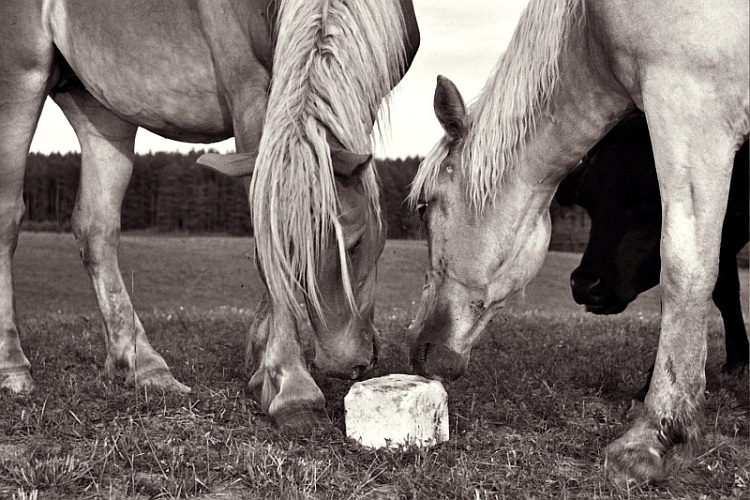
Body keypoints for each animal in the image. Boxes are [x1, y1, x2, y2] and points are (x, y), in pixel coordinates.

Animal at [0, 0, 424, 430]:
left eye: (355, 242)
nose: (342, 362)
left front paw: (260, 364)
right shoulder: (250, 97)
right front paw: (292, 388)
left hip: (98, 107)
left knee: (96, 228)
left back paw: (144, 368)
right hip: (19, 82)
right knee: (8, 218)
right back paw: (13, 368)